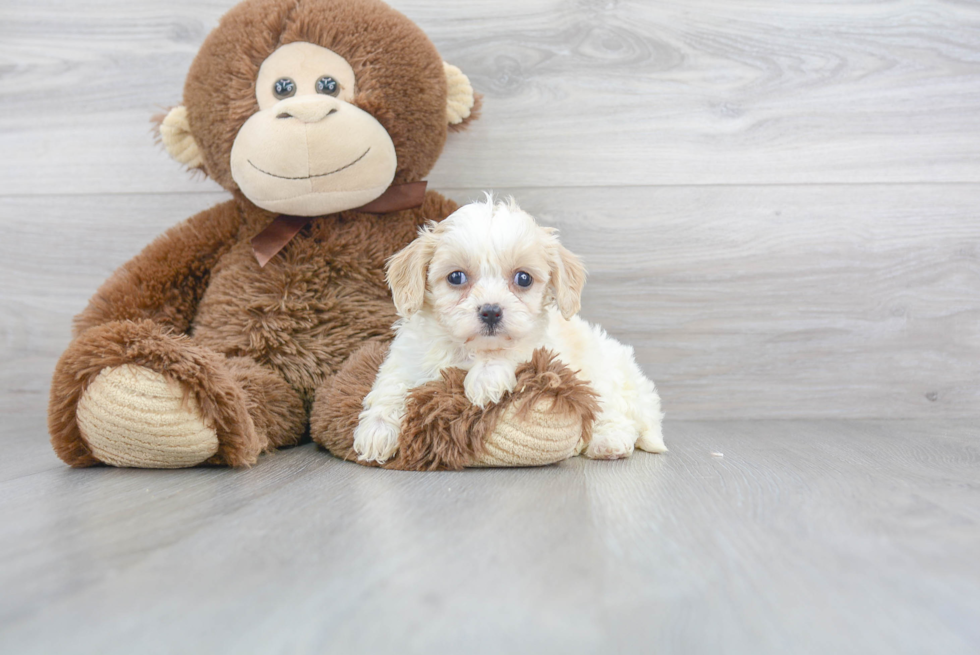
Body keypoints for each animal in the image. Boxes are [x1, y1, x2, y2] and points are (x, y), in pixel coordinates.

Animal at [352, 197, 668, 464]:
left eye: (523, 278)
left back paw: (608, 443)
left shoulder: (543, 349)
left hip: (605, 379)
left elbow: (513, 350)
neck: (466, 348)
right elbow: (391, 384)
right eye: (456, 277)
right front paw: (376, 430)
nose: (491, 311)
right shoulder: (407, 357)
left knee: (616, 416)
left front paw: (485, 380)